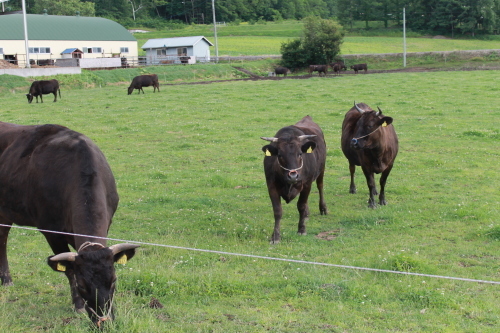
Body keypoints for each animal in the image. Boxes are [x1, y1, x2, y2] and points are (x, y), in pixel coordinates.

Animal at [0, 120, 141, 326]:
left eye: (114, 280)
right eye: (82, 286)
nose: (104, 320)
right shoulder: (51, 231)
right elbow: (69, 271)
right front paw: (79, 305)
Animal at [262, 115, 328, 243]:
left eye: (300, 154)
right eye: (280, 155)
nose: (293, 176)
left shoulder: (306, 184)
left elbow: (301, 205)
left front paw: (301, 230)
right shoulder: (271, 185)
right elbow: (277, 211)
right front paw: (275, 236)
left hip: (321, 169)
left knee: (320, 186)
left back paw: (323, 208)